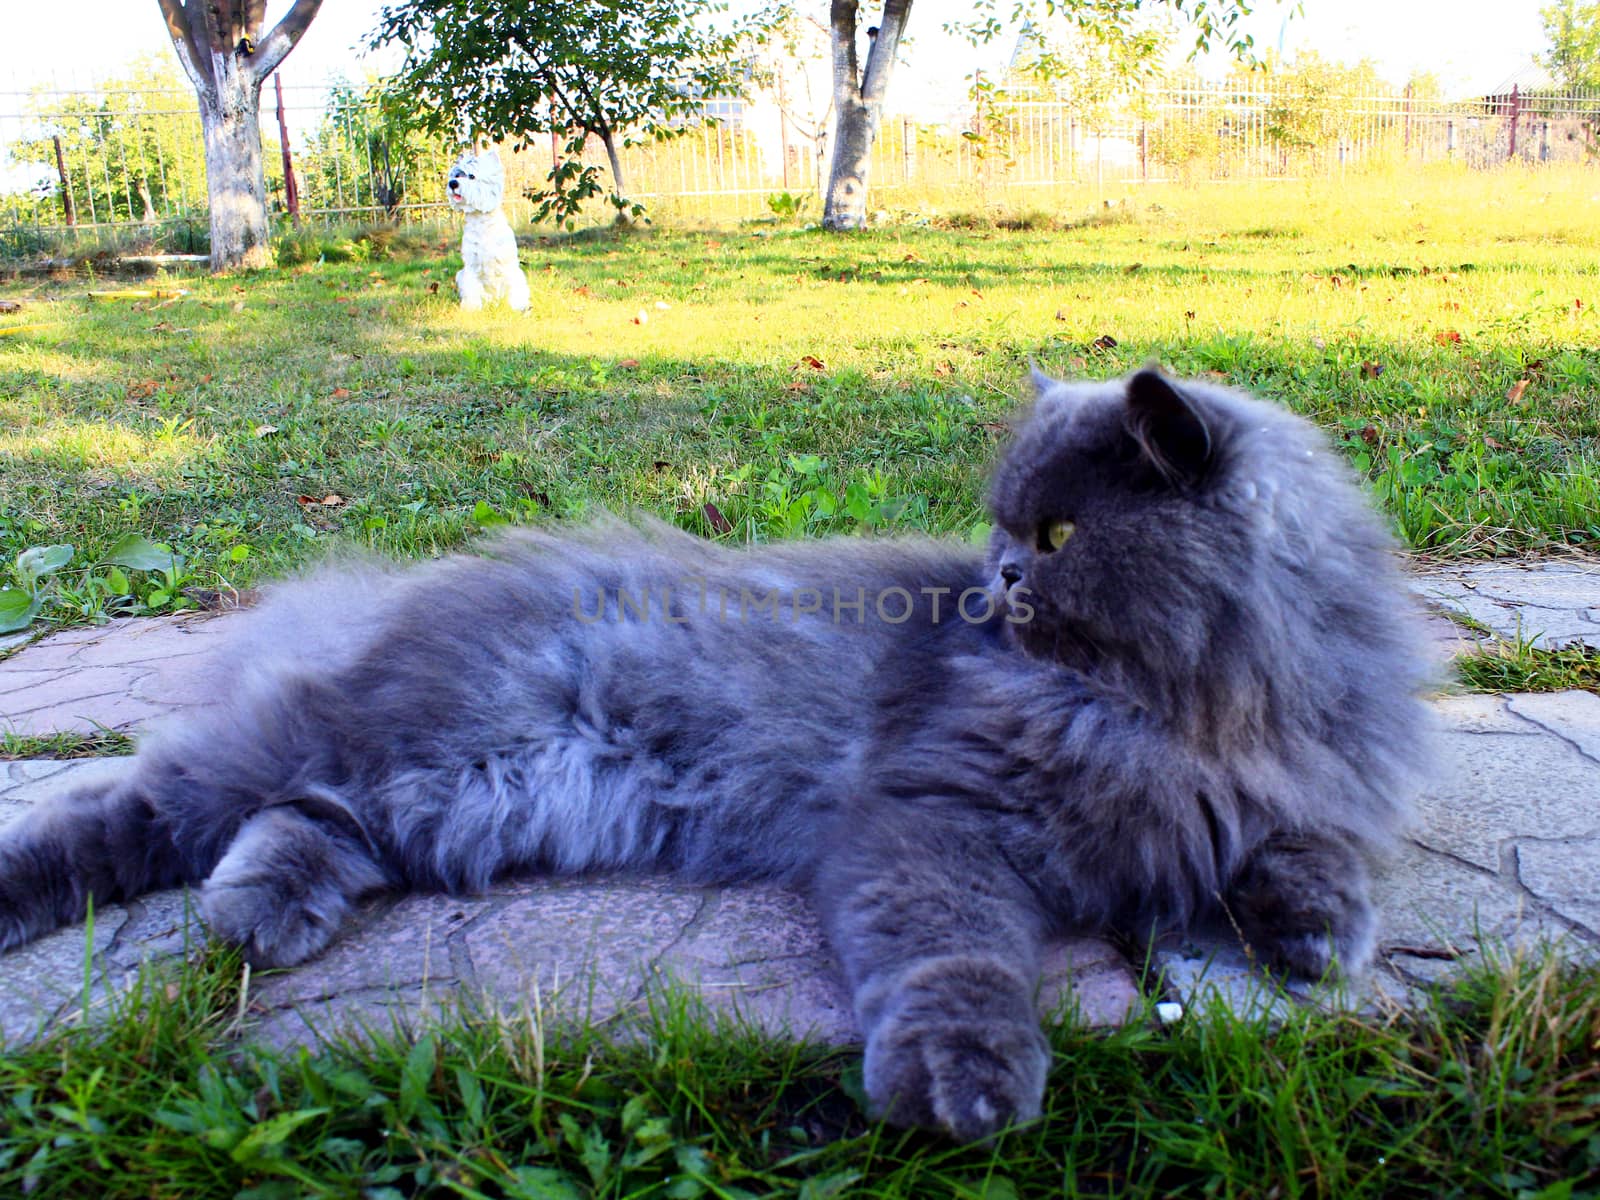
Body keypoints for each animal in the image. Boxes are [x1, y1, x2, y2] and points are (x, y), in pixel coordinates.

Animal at [0, 371, 1427, 1139]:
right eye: (1007, 528)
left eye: (1063, 536)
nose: (998, 579)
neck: (1183, 709)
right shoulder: (929, 819)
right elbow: (956, 961)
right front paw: (964, 1085)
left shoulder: (1298, 786)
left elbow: (1315, 853)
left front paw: (1317, 937)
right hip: (385, 741)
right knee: (138, 807)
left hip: (445, 801)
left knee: (308, 821)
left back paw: (256, 916)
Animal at [444, 149, 531, 312]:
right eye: (456, 175)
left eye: (472, 176)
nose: (452, 183)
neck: (481, 223)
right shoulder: (471, 265)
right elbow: (471, 288)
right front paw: (471, 309)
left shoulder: (507, 263)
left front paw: (518, 306)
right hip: (460, 274)